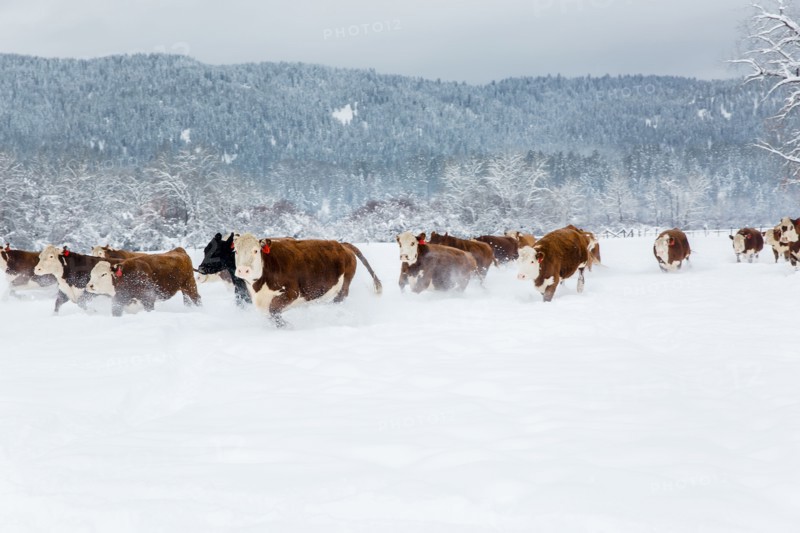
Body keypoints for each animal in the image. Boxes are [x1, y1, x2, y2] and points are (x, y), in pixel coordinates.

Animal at [232, 233, 382, 327]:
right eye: (236, 251)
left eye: (256, 251)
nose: (243, 270)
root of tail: (342, 245)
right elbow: (270, 314)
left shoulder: (292, 292)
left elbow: (273, 310)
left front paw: (287, 326)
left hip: (344, 285)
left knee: (339, 299)